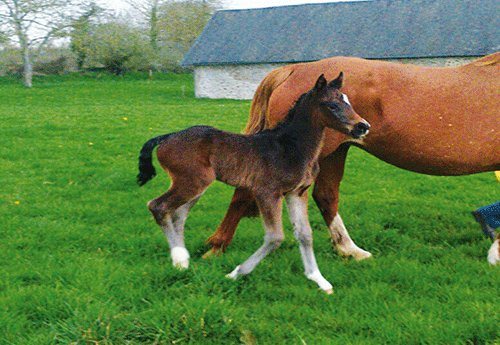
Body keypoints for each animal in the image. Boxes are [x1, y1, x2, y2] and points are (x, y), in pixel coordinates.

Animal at [137, 73, 372, 292]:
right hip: (192, 182)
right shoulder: (267, 192)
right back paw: (179, 258)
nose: (363, 126)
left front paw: (319, 280)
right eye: (332, 105)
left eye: (348, 101)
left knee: (177, 214)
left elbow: (305, 234)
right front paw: (235, 273)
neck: (291, 146)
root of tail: (167, 137)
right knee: (158, 206)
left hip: (194, 186)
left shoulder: (297, 193)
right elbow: (275, 237)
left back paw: (183, 261)